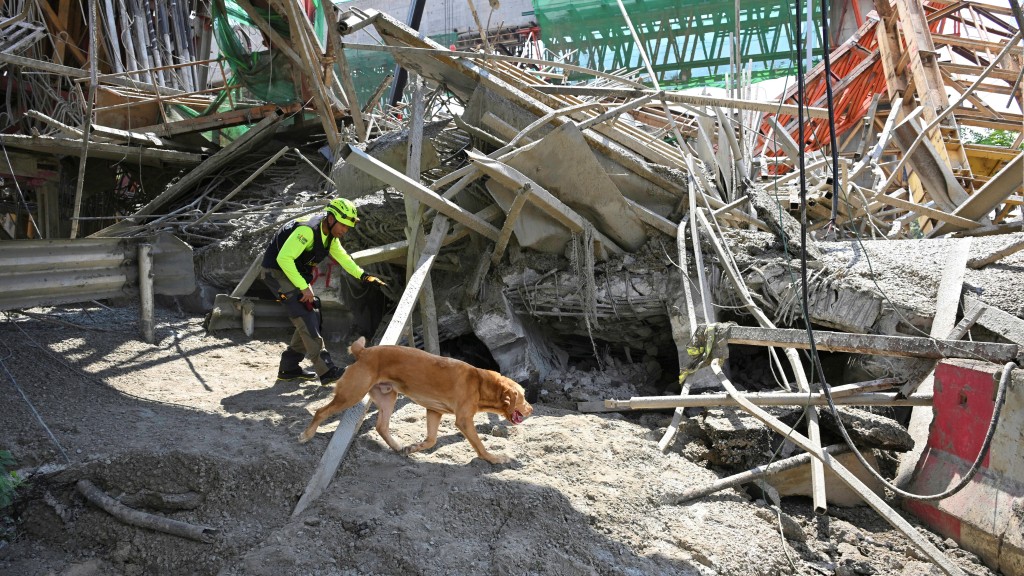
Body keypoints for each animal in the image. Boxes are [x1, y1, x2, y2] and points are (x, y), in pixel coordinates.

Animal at [299, 336, 532, 461]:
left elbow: (431, 440)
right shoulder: (464, 421)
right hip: (351, 394)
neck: (480, 382)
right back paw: (306, 435)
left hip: (387, 397)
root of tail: (363, 352)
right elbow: (479, 445)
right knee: (320, 411)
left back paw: (397, 447)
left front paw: (413, 448)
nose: (532, 410)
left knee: (381, 426)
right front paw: (494, 459)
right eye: (523, 396)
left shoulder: (434, 411)